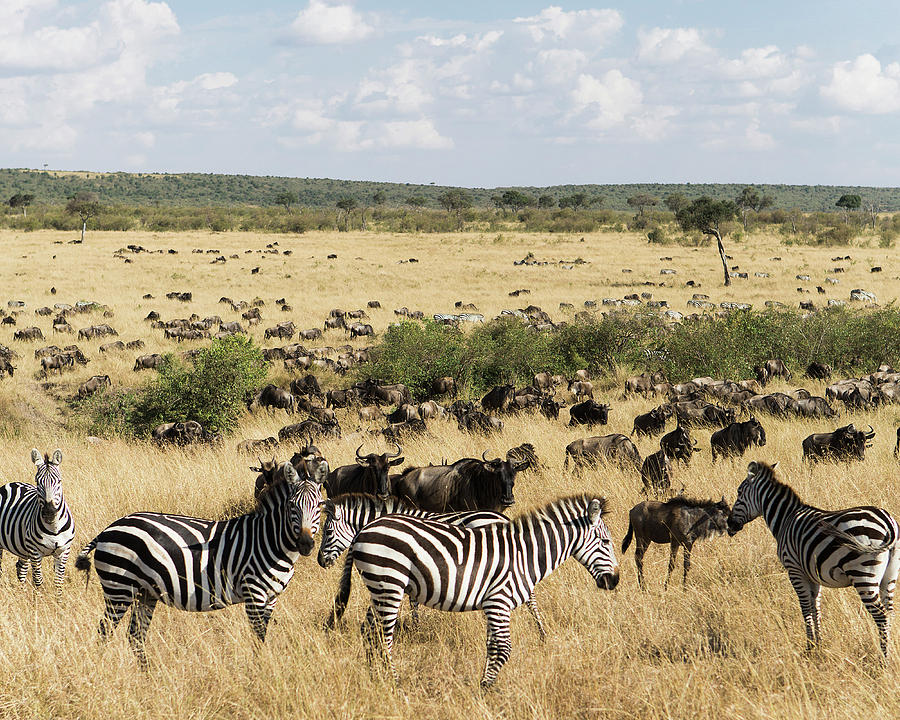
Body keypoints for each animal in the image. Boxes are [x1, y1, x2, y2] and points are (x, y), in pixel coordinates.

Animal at [0, 450, 75, 596]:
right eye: (37, 482)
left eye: (59, 481)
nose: (49, 512)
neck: (54, 527)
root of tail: (11, 484)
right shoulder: (35, 552)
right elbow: (38, 580)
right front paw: (38, 600)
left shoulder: (64, 551)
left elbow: (59, 582)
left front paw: (59, 601)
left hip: (22, 548)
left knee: (21, 567)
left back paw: (22, 593)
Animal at [74, 458, 326, 668]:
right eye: (292, 506)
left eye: (319, 506)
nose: (305, 544)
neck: (269, 540)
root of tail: (108, 528)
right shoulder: (254, 593)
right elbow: (257, 637)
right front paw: (258, 673)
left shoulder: (272, 597)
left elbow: (261, 637)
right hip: (119, 587)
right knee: (105, 631)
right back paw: (102, 671)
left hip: (145, 592)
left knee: (135, 636)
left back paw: (148, 676)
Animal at [320, 492, 552, 640]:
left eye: (328, 532)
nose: (320, 562)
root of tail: (502, 517)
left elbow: (412, 602)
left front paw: (415, 628)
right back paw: (540, 631)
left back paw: (539, 631)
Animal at [348, 496, 616, 688]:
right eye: (605, 542)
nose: (614, 581)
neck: (524, 555)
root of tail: (366, 529)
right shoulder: (499, 601)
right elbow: (504, 649)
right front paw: (485, 688)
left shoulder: (492, 605)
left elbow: (492, 646)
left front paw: (486, 683)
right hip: (390, 583)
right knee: (383, 635)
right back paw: (394, 682)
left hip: (380, 588)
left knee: (368, 631)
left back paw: (375, 676)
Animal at [728, 464, 896, 656]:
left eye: (739, 492)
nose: (729, 524)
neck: (785, 519)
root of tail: (887, 523)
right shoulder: (812, 573)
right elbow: (816, 606)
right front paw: (819, 644)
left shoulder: (794, 569)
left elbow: (805, 607)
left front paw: (809, 648)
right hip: (890, 576)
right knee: (890, 612)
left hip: (863, 575)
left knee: (881, 616)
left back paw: (884, 657)